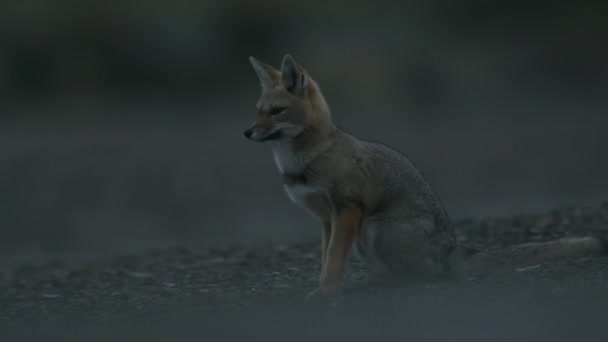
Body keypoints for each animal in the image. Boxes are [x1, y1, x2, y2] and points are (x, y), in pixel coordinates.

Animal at [243, 54, 608, 298]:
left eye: (277, 111)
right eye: (258, 111)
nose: (246, 133)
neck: (306, 159)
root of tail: (454, 252)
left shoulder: (346, 210)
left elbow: (332, 258)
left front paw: (326, 292)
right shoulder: (326, 220)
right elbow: (324, 257)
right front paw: (326, 286)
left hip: (373, 227)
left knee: (422, 278)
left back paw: (383, 282)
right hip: (363, 237)